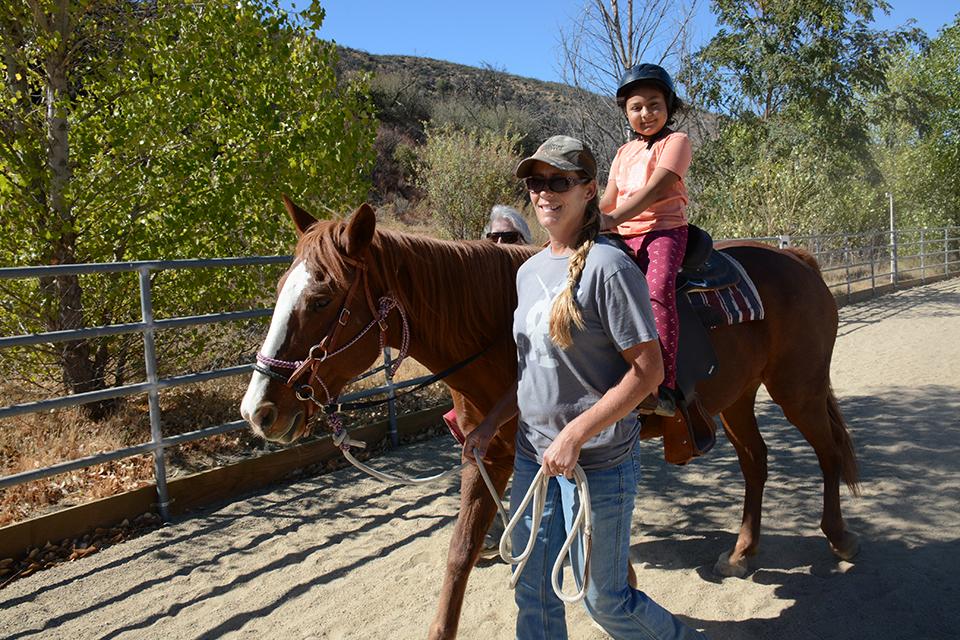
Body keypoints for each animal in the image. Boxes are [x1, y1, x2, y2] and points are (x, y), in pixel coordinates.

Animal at [240, 198, 864, 636]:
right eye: (282, 287)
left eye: (322, 298)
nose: (258, 410)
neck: (503, 329)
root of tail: (799, 259)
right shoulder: (486, 454)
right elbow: (460, 554)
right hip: (736, 398)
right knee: (757, 461)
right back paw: (741, 553)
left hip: (798, 389)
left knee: (827, 450)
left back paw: (838, 538)